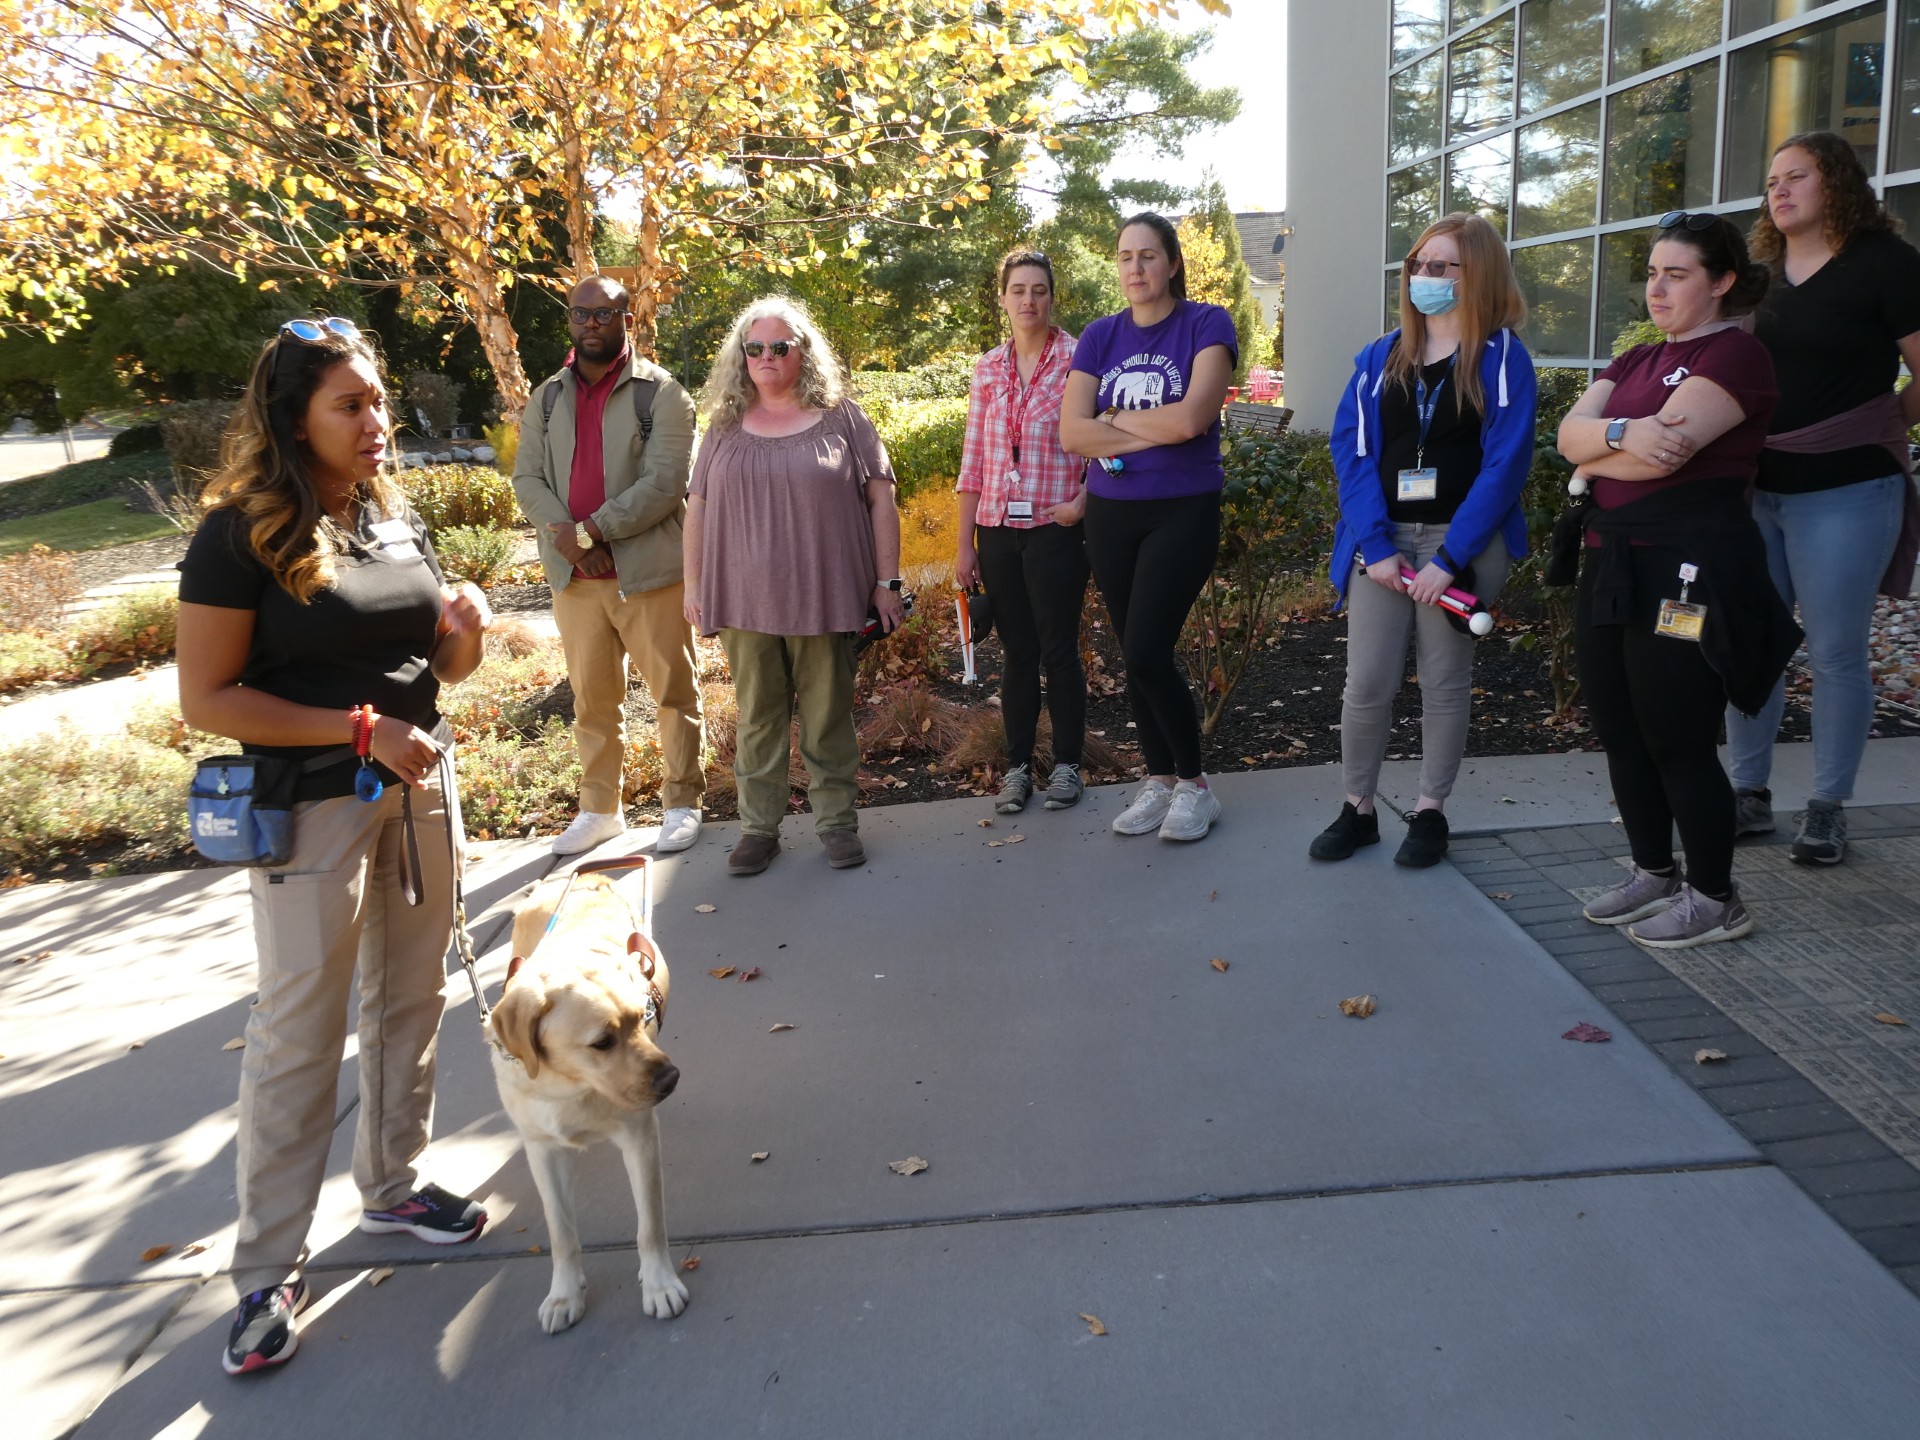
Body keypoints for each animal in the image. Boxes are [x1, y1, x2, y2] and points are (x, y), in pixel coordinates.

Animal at [487, 852, 691, 1336]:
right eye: (602, 1042)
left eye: (642, 1017)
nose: (672, 1078)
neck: (569, 1087)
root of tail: (588, 881)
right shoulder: (542, 1151)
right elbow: (561, 1233)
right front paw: (564, 1294)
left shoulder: (640, 1139)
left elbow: (650, 1224)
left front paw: (659, 1283)